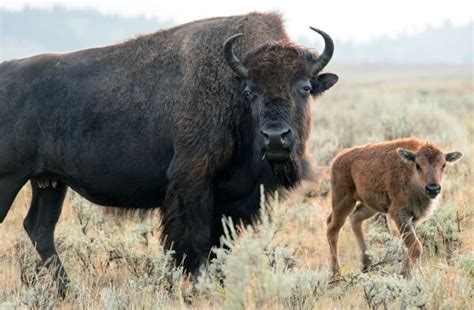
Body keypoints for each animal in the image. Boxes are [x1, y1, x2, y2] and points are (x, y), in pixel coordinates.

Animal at [1, 12, 338, 294]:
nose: (275, 138)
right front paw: (197, 287)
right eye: (250, 91)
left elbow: (221, 245)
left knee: (40, 228)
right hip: (11, 178)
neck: (231, 89)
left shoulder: (235, 198)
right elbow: (196, 240)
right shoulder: (192, 183)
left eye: (305, 87)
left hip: (49, 182)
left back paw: (67, 291)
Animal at [328, 138, 462, 276]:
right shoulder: (400, 215)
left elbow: (410, 246)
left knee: (355, 218)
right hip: (343, 201)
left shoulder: (412, 219)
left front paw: (405, 272)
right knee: (333, 228)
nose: (433, 188)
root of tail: (337, 158)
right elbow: (416, 247)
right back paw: (336, 273)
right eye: (418, 165)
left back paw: (367, 263)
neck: (411, 175)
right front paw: (414, 275)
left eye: (443, 165)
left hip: (370, 206)